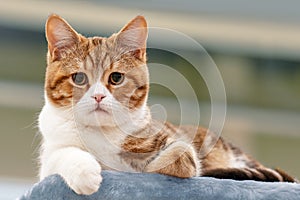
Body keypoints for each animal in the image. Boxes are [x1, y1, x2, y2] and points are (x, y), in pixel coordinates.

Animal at [38, 14, 296, 195]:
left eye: (116, 77)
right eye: (79, 78)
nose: (98, 97)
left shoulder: (171, 142)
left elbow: (179, 158)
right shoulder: (49, 160)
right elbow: (62, 155)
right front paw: (86, 173)